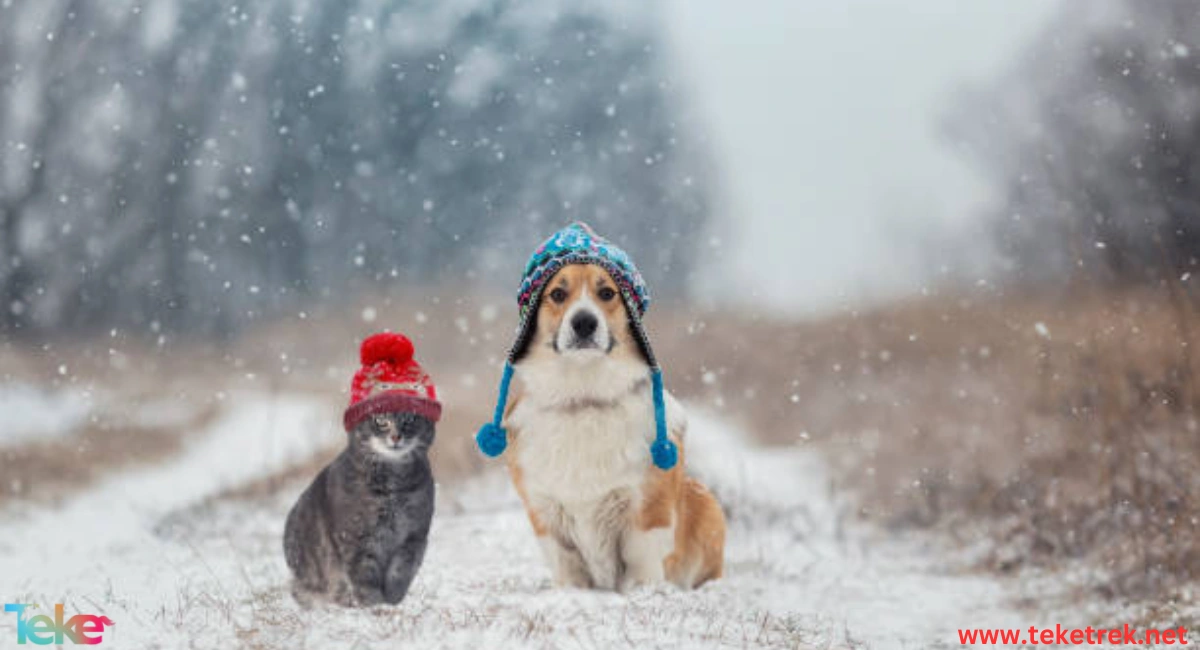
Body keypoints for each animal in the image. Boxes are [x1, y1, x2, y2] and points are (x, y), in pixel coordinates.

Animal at [282, 410, 436, 609]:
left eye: (409, 418)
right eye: (380, 420)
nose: (396, 436)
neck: (394, 489)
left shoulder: (414, 537)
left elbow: (400, 572)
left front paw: (392, 601)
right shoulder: (356, 539)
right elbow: (365, 578)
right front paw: (375, 606)